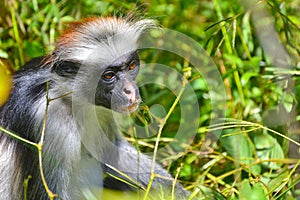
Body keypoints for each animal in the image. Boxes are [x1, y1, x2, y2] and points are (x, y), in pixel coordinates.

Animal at [0, 16, 189, 199]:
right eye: (109, 75)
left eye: (131, 66)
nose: (130, 90)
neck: (67, 96)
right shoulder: (50, 122)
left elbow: (113, 152)